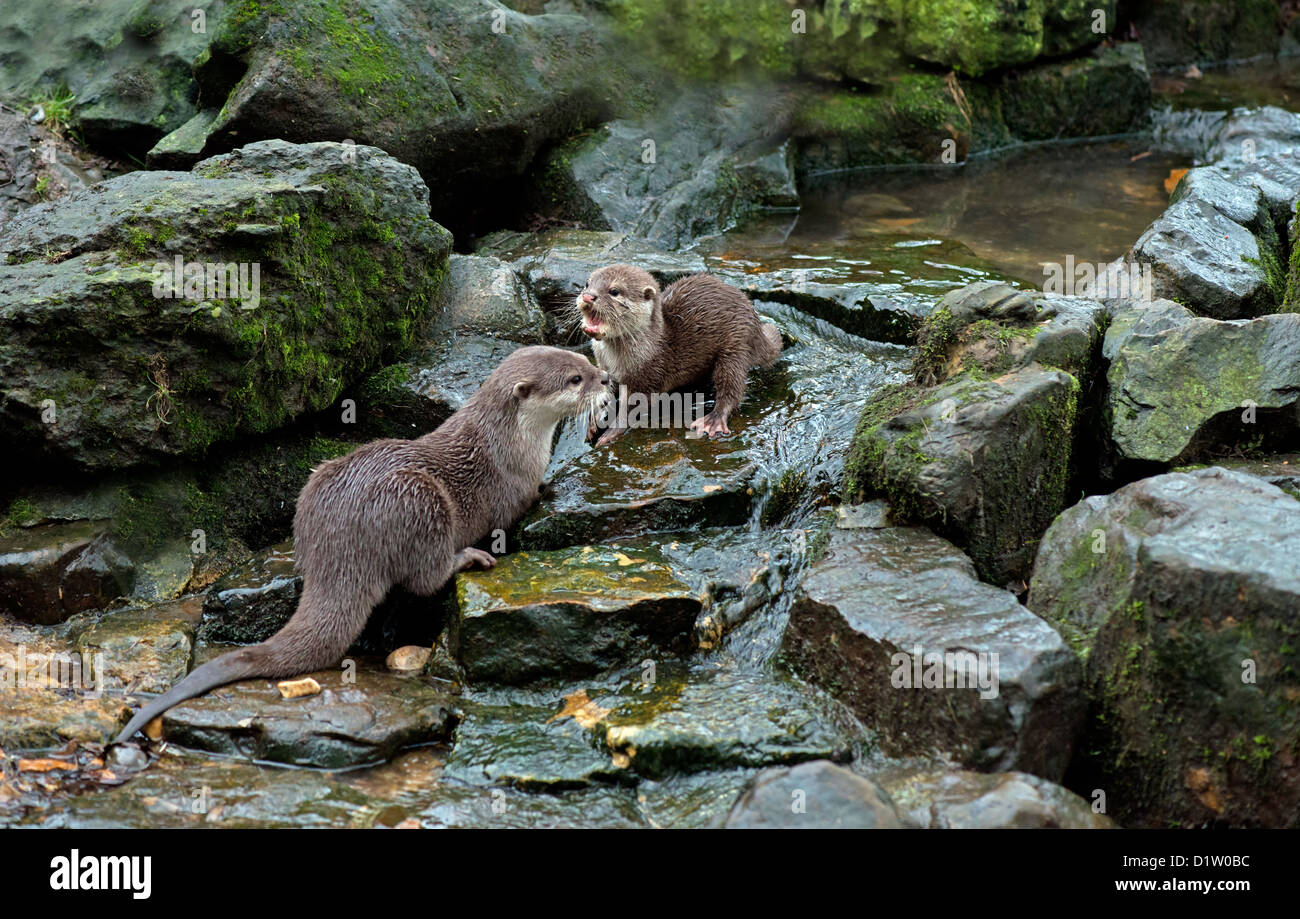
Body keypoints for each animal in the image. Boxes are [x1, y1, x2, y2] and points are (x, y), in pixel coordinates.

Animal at [114, 346, 609, 744]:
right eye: (575, 379)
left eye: (584, 359)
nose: (605, 378)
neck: (508, 441)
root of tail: (340, 547)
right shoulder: (511, 484)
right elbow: (522, 503)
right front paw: (549, 488)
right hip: (420, 501)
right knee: (424, 577)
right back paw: (467, 558)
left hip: (315, 484)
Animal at [576, 265, 781, 444]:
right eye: (587, 284)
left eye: (614, 291)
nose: (588, 296)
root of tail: (755, 322)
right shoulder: (604, 367)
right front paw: (594, 422)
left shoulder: (647, 378)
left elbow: (632, 409)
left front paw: (610, 433)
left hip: (735, 347)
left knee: (731, 387)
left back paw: (713, 420)